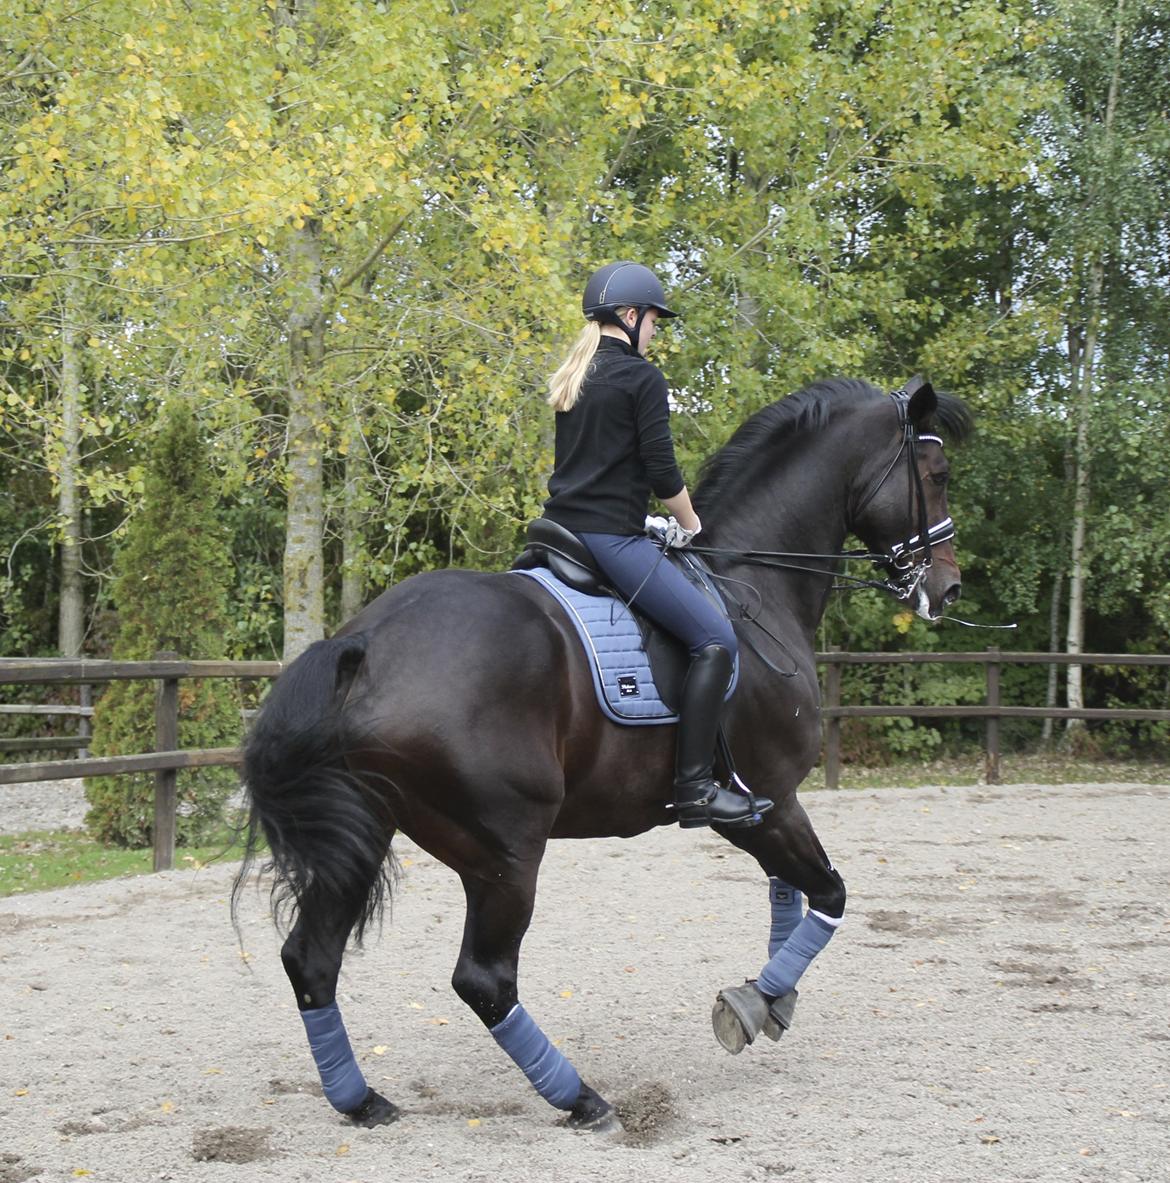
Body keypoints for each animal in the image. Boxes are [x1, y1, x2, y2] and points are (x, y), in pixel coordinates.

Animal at [235, 373, 970, 1130]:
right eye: (937, 474)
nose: (947, 587)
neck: (755, 586)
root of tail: (365, 642)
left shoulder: (767, 803)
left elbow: (789, 889)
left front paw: (773, 999)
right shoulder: (765, 802)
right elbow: (827, 890)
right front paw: (756, 1000)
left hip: (365, 835)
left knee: (312, 960)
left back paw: (361, 1100)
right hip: (505, 853)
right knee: (484, 979)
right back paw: (581, 1098)